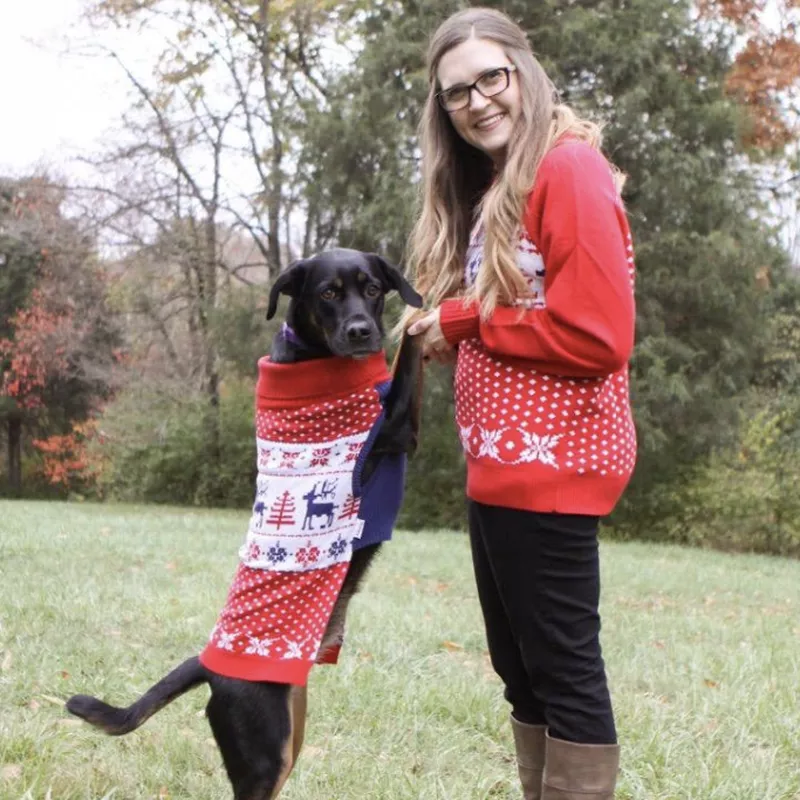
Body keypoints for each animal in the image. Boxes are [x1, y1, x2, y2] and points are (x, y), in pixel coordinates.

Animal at [67, 247, 424, 796]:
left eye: (371, 288)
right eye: (327, 293)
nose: (362, 331)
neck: (314, 356)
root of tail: (208, 666)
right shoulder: (398, 428)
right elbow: (408, 358)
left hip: (289, 736)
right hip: (264, 752)